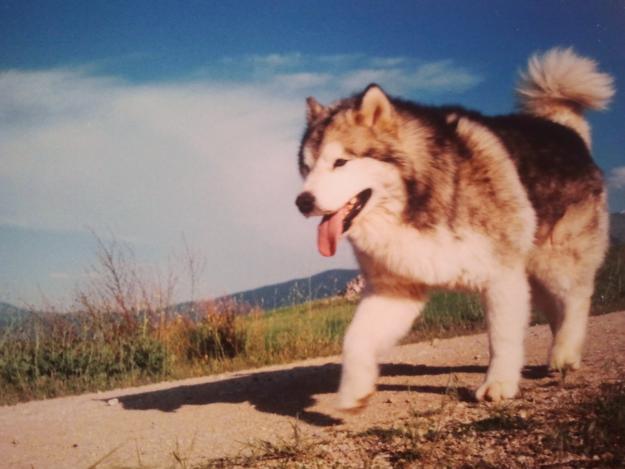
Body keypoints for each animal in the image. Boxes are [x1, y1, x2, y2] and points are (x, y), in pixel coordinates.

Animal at [294, 45, 612, 408]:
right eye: (306, 168)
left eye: (340, 162)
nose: (302, 202)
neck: (417, 200)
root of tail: (566, 130)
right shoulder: (395, 289)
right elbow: (355, 339)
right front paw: (352, 391)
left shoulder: (501, 277)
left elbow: (501, 338)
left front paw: (499, 383)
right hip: (535, 274)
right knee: (556, 307)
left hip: (555, 261)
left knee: (576, 299)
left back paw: (565, 353)